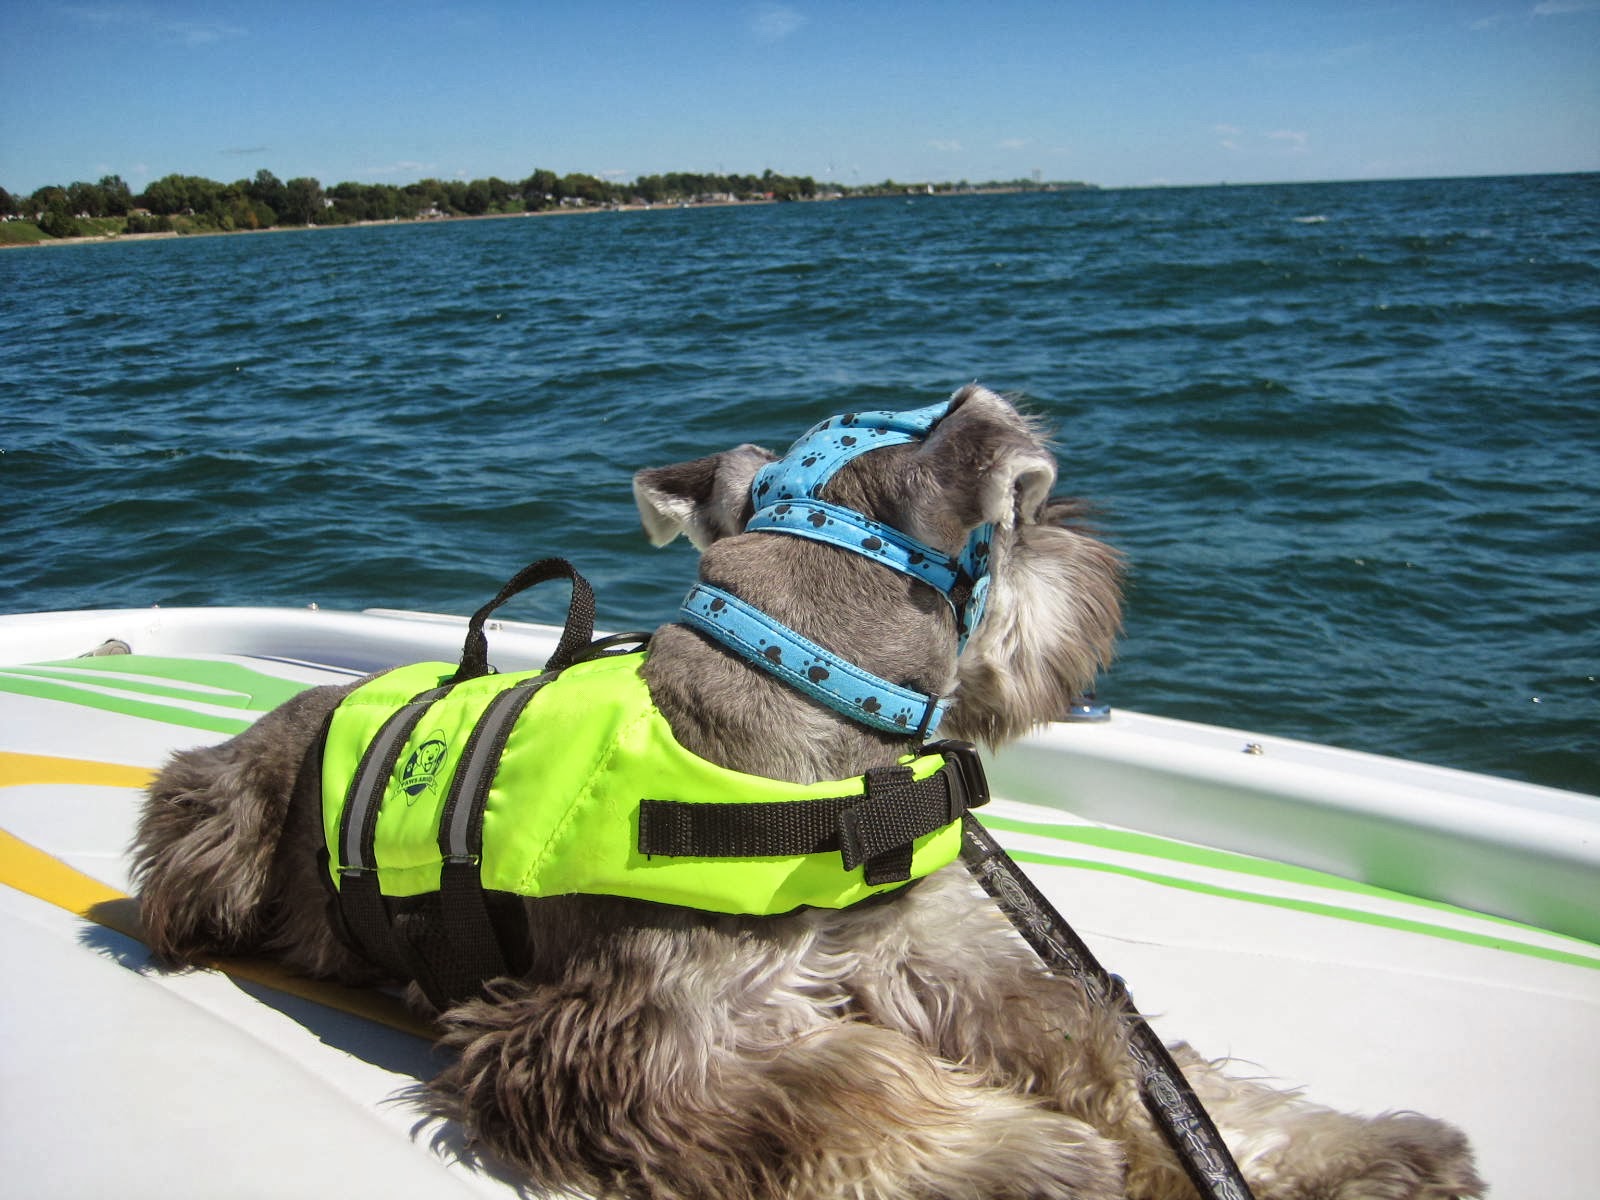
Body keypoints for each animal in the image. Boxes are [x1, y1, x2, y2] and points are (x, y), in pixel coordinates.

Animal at [132, 385, 1481, 1199]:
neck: (809, 730)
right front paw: (1044, 1157)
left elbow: (1126, 1053)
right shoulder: (638, 1035)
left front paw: (1356, 1151)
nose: (1100, 566)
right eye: (1031, 514)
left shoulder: (929, 954)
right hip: (217, 825)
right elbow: (846, 1092)